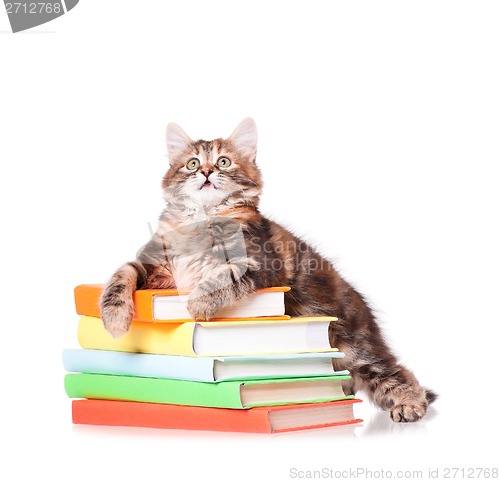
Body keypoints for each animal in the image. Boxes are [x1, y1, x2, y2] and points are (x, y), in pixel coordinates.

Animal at [102, 119, 438, 422]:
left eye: (223, 162)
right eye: (192, 163)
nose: (206, 172)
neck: (202, 218)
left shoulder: (260, 264)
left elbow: (219, 278)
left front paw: (197, 303)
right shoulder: (158, 267)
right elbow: (121, 275)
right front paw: (115, 319)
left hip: (357, 347)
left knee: (397, 372)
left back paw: (410, 405)